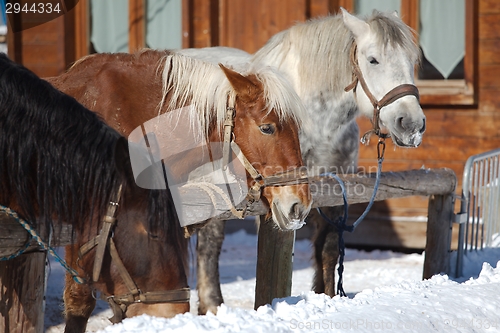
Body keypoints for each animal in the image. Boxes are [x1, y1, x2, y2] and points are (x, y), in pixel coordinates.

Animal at [178, 8, 424, 314]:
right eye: (373, 59)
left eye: (411, 61)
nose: (412, 124)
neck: (318, 121)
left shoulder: (334, 189)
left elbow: (328, 249)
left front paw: (326, 295)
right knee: (209, 244)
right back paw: (213, 305)